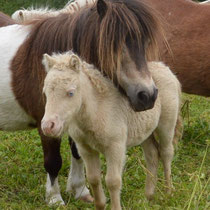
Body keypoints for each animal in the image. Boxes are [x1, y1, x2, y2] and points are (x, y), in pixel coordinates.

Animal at [0, 0, 162, 205]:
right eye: (113, 45)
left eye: (145, 42)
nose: (147, 96)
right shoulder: (46, 124)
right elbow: (53, 161)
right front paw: (55, 199)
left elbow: (77, 153)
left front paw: (79, 190)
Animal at [41, 51, 182, 210]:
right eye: (45, 93)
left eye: (70, 93)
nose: (48, 126)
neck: (96, 110)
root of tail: (164, 67)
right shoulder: (85, 149)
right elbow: (93, 178)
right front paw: (100, 205)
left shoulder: (115, 147)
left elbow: (113, 181)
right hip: (146, 131)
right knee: (152, 154)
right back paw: (149, 197)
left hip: (166, 124)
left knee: (166, 152)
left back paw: (169, 192)